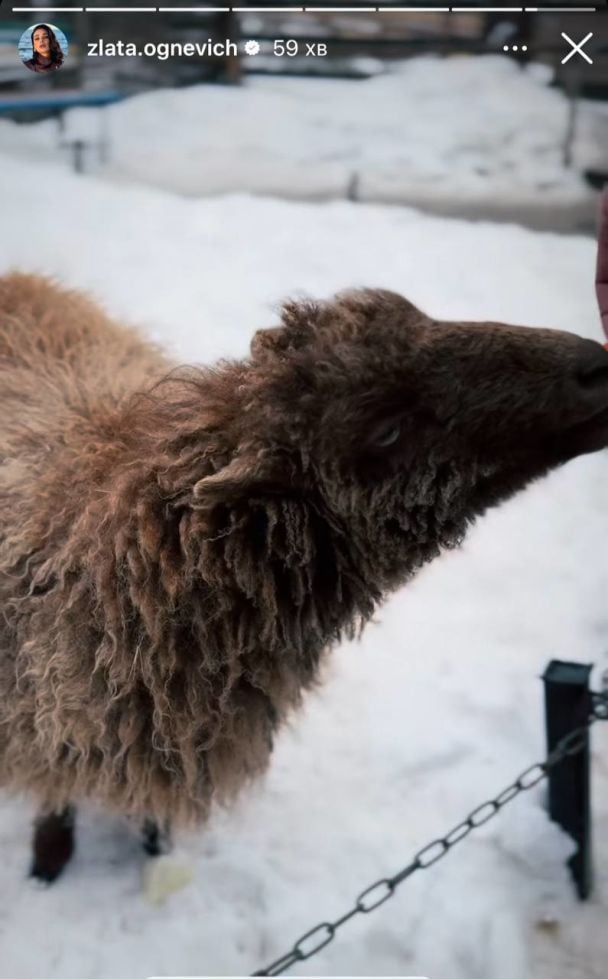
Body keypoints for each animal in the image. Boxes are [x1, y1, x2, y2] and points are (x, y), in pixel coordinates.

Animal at [3, 272, 608, 884]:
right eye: (387, 430)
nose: (595, 366)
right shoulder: (52, 732)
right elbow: (56, 803)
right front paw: (46, 866)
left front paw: (153, 850)